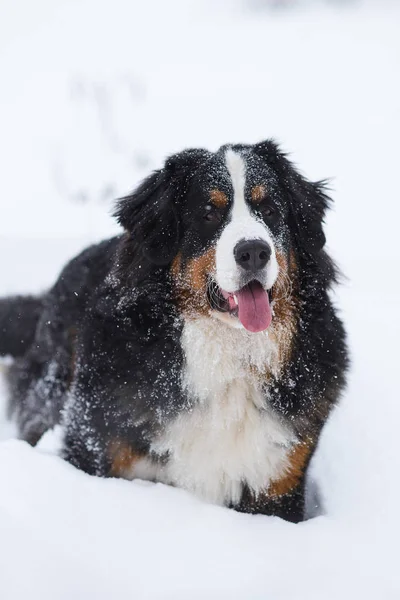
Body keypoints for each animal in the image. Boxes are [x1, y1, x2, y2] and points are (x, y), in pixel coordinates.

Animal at [0, 139, 348, 520]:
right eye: (209, 214)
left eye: (270, 210)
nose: (254, 251)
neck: (228, 354)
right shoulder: (97, 447)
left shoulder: (277, 484)